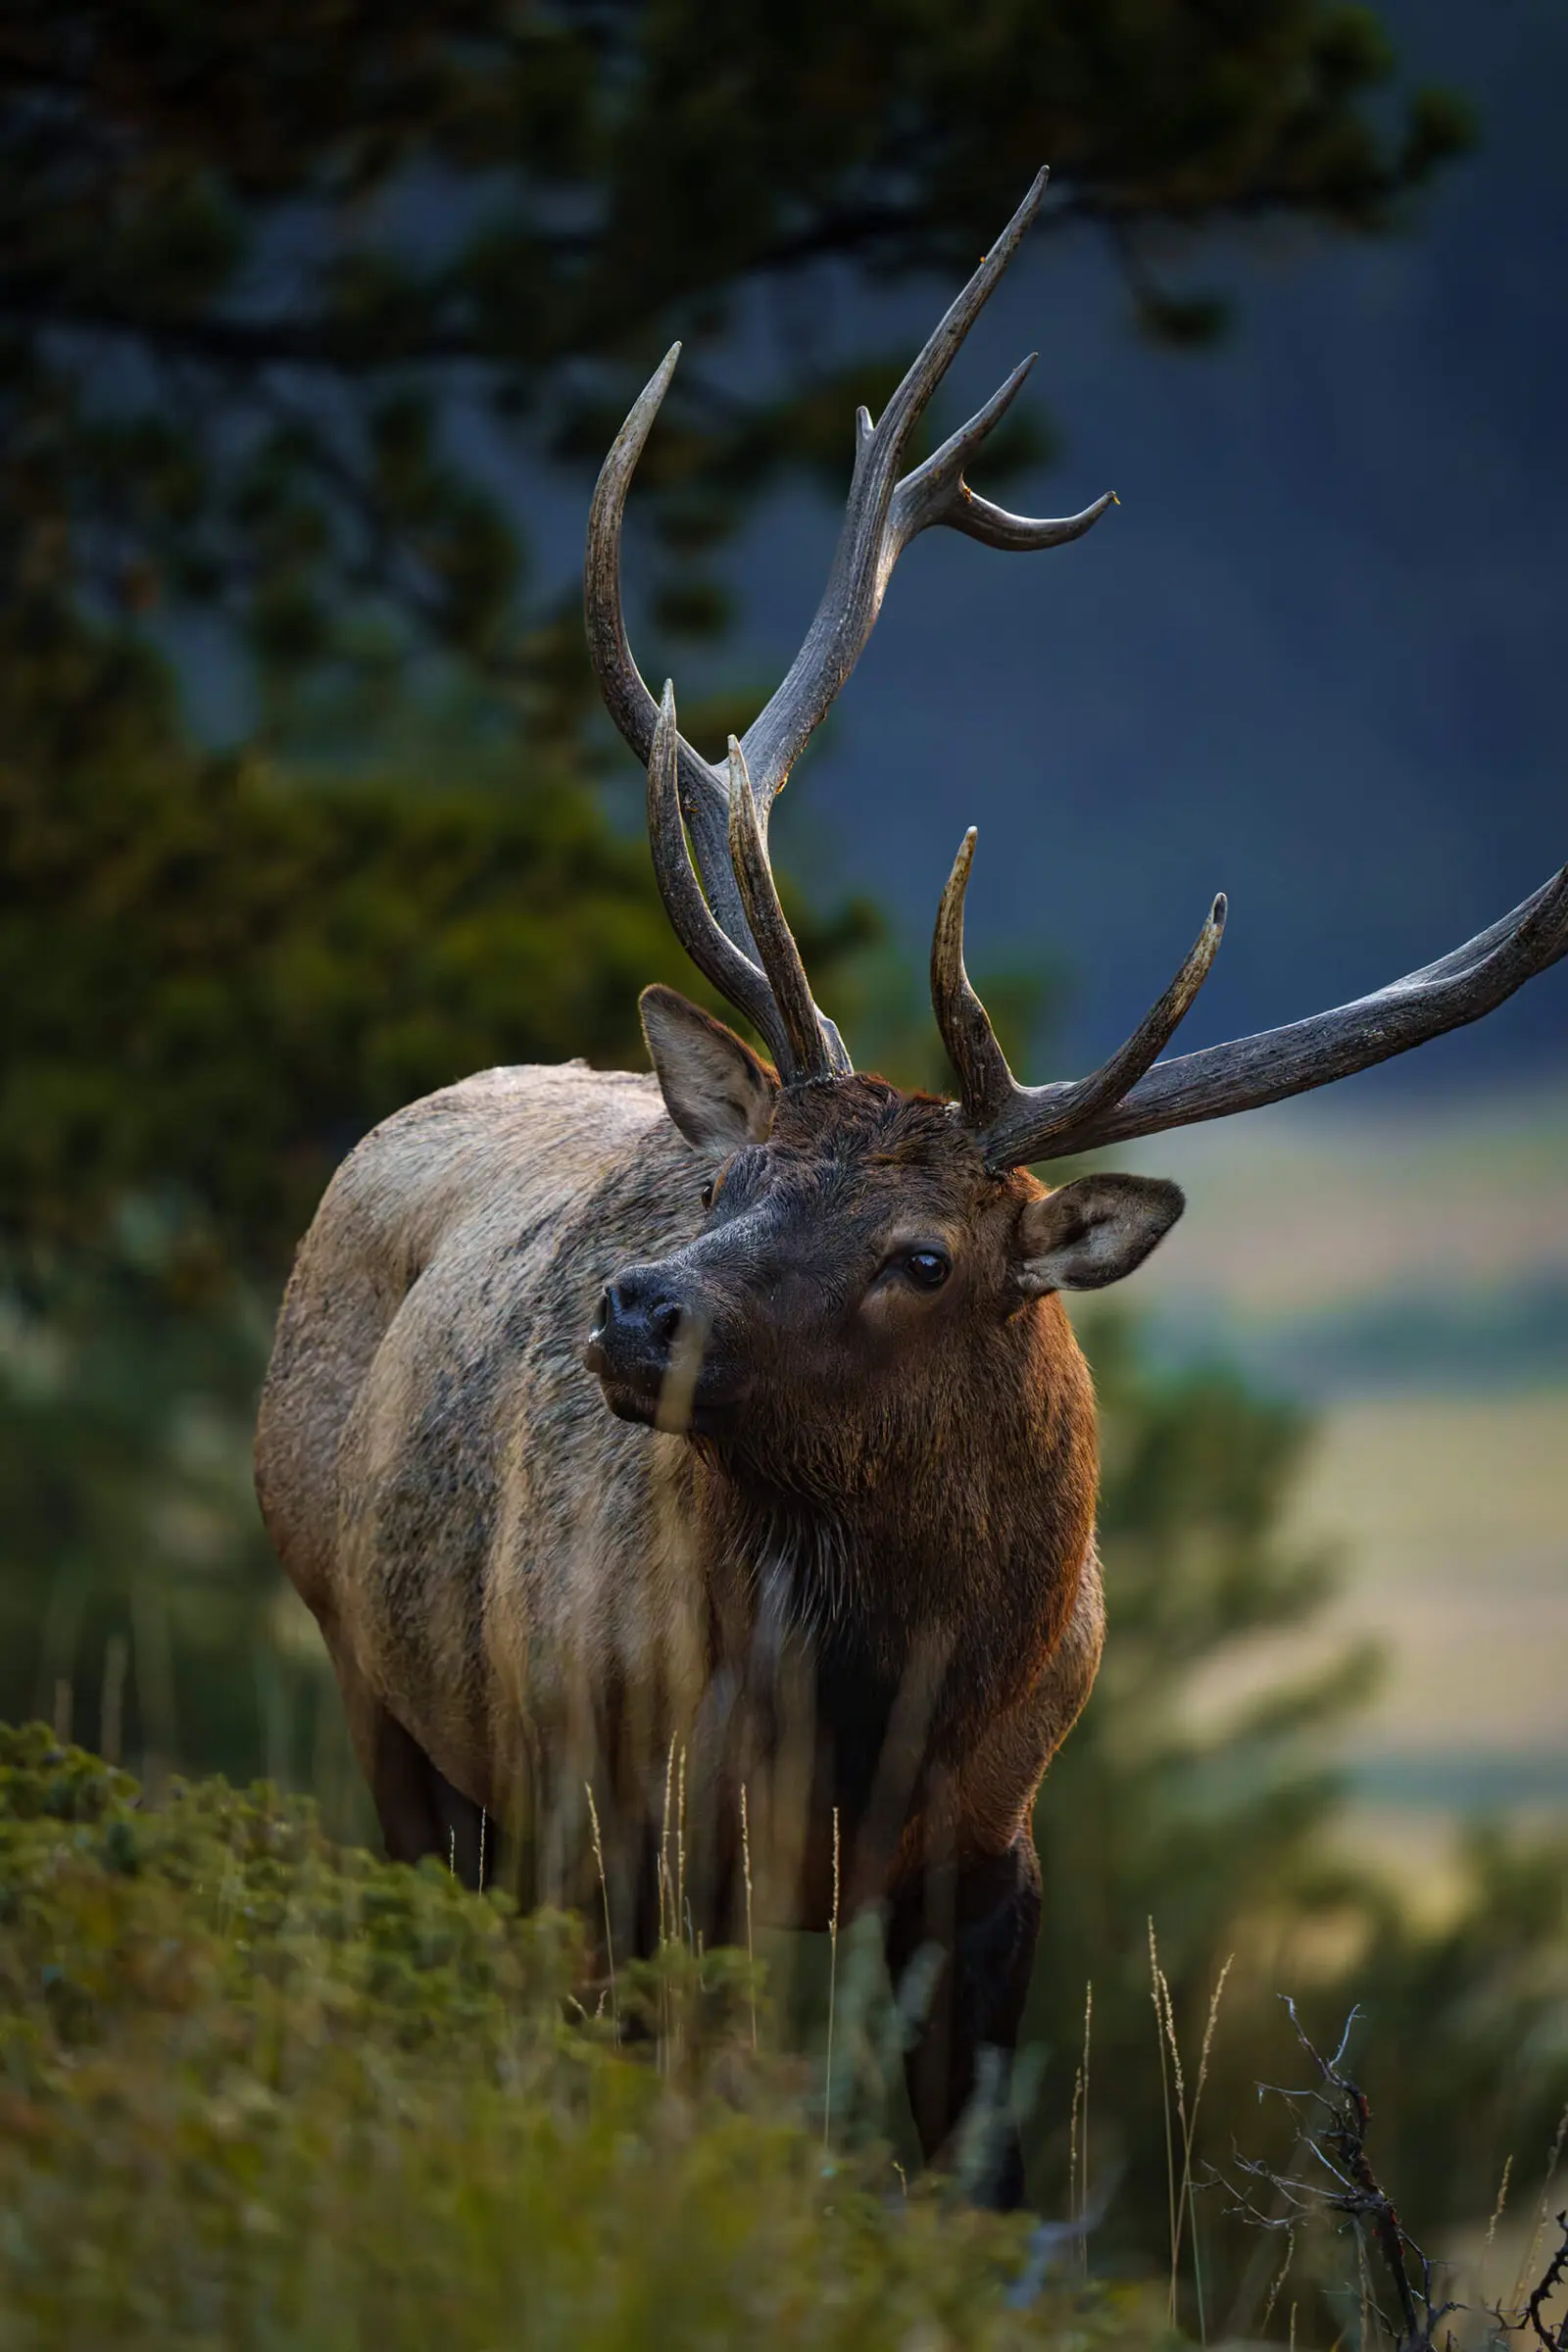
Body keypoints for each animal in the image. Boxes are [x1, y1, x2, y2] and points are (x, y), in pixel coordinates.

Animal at [254, 171, 1567, 2208]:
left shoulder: (994, 1850)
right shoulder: (624, 1808)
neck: (867, 1726)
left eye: (928, 1253)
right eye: (735, 1176)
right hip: (381, 1684)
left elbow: (977, 2174)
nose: (638, 1307)